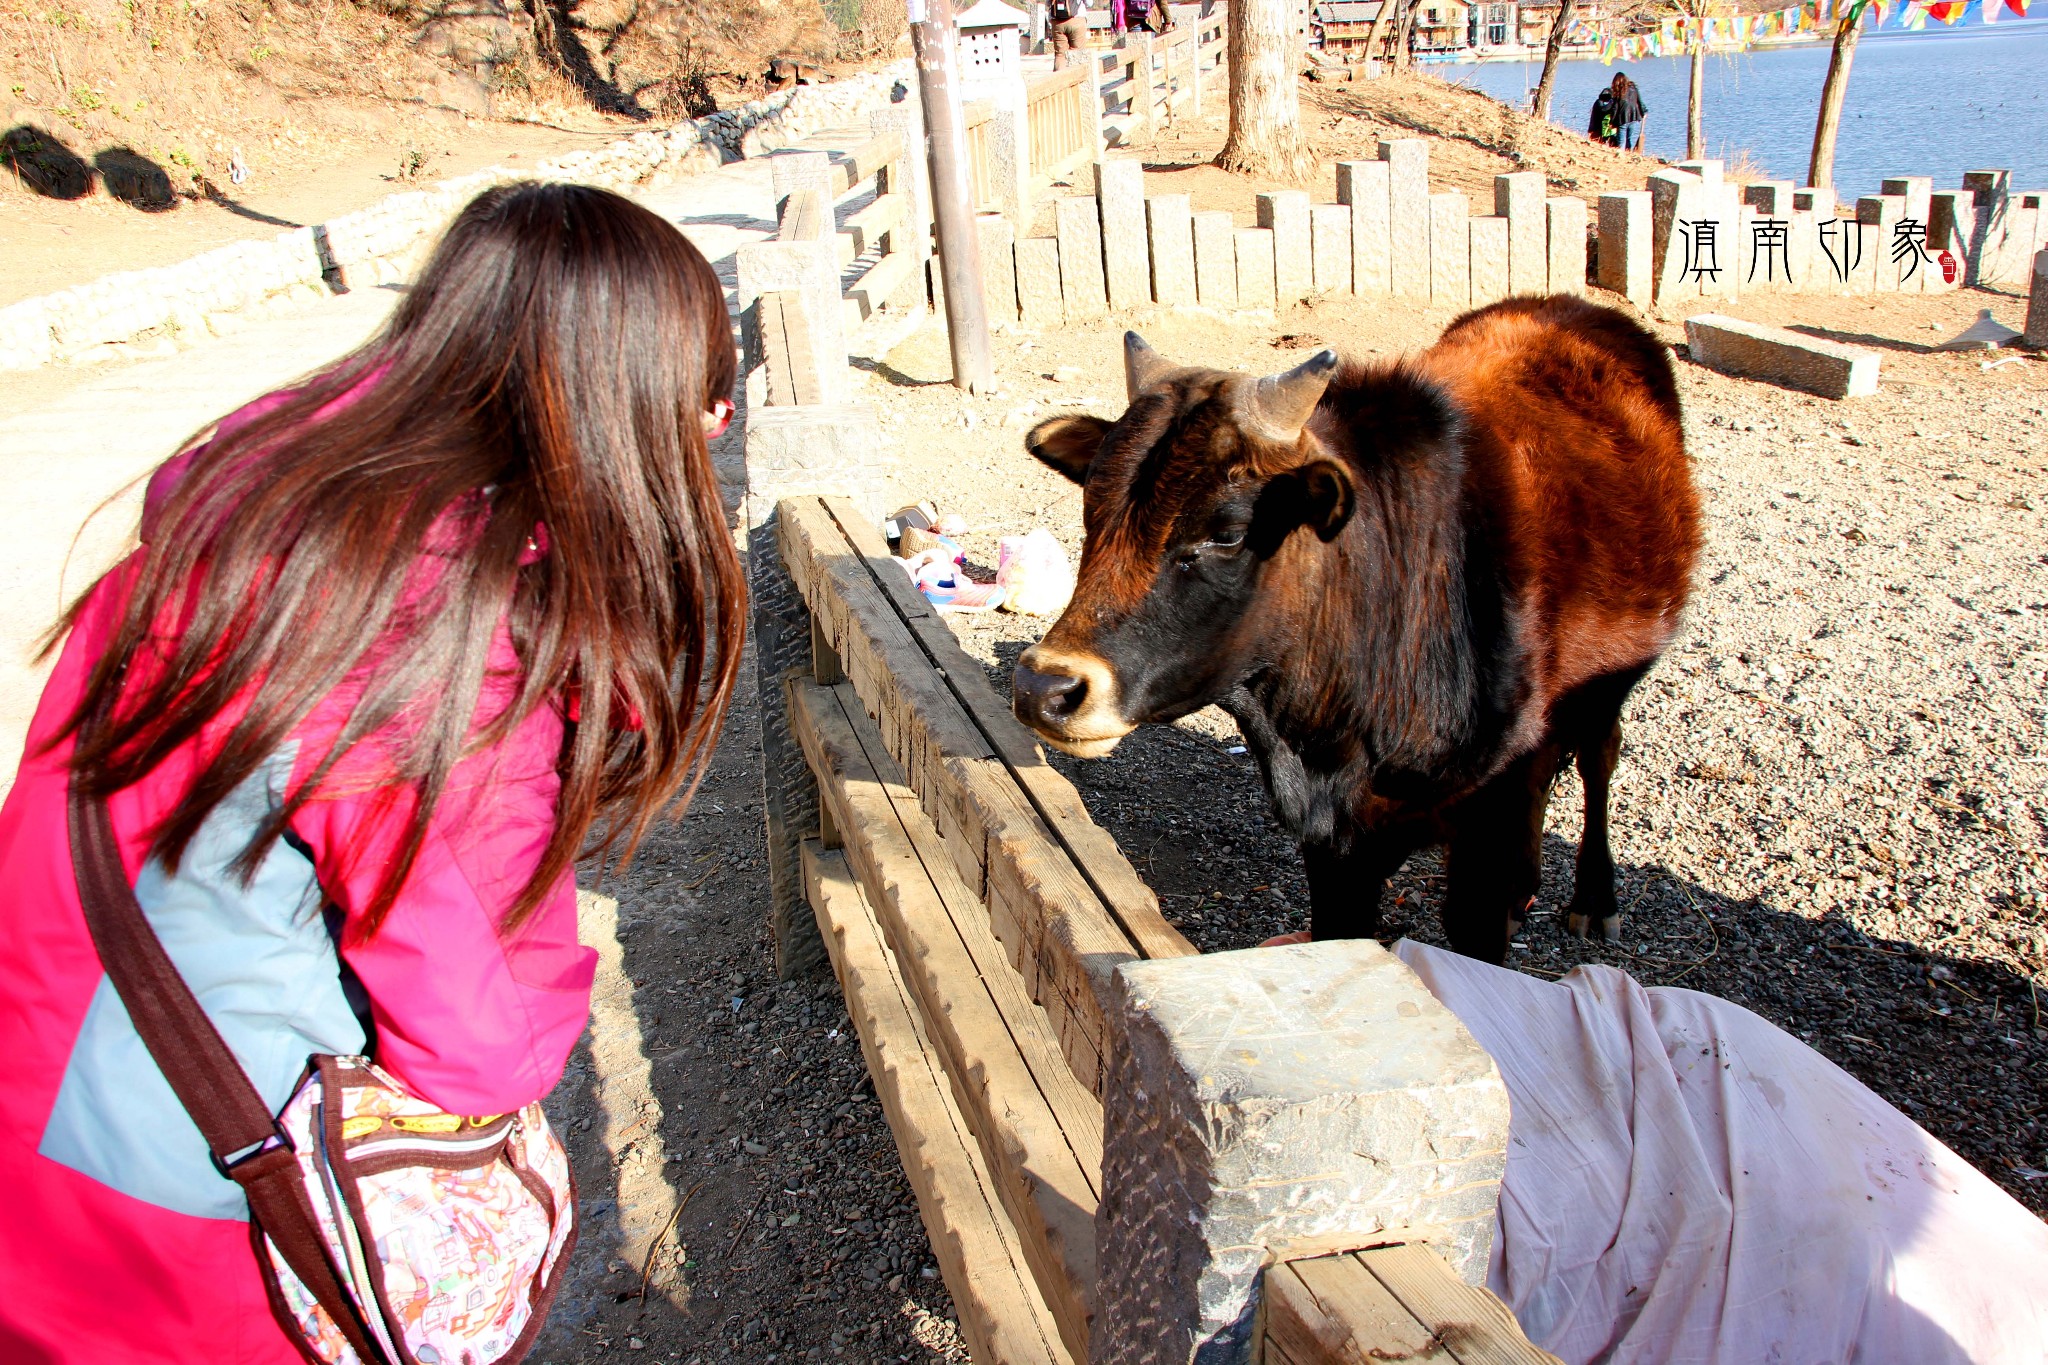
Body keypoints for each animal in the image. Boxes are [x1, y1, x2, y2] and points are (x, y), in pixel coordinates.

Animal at [1007, 296, 1695, 961]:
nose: (1044, 689)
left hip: (1613, 680)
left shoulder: (1482, 829)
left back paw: (1595, 897)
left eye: (1228, 532)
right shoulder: (1338, 848)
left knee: (1600, 754)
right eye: (1092, 508)